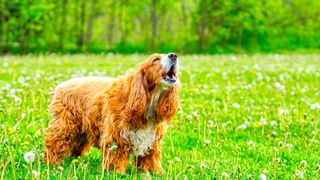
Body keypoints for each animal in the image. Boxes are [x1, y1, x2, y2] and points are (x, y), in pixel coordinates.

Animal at [43, 52, 180, 174]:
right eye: (155, 59)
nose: (173, 55)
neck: (148, 102)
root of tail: (61, 85)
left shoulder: (152, 140)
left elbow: (150, 157)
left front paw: (153, 172)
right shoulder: (116, 136)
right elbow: (117, 158)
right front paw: (116, 172)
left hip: (81, 131)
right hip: (65, 127)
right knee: (54, 143)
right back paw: (52, 163)